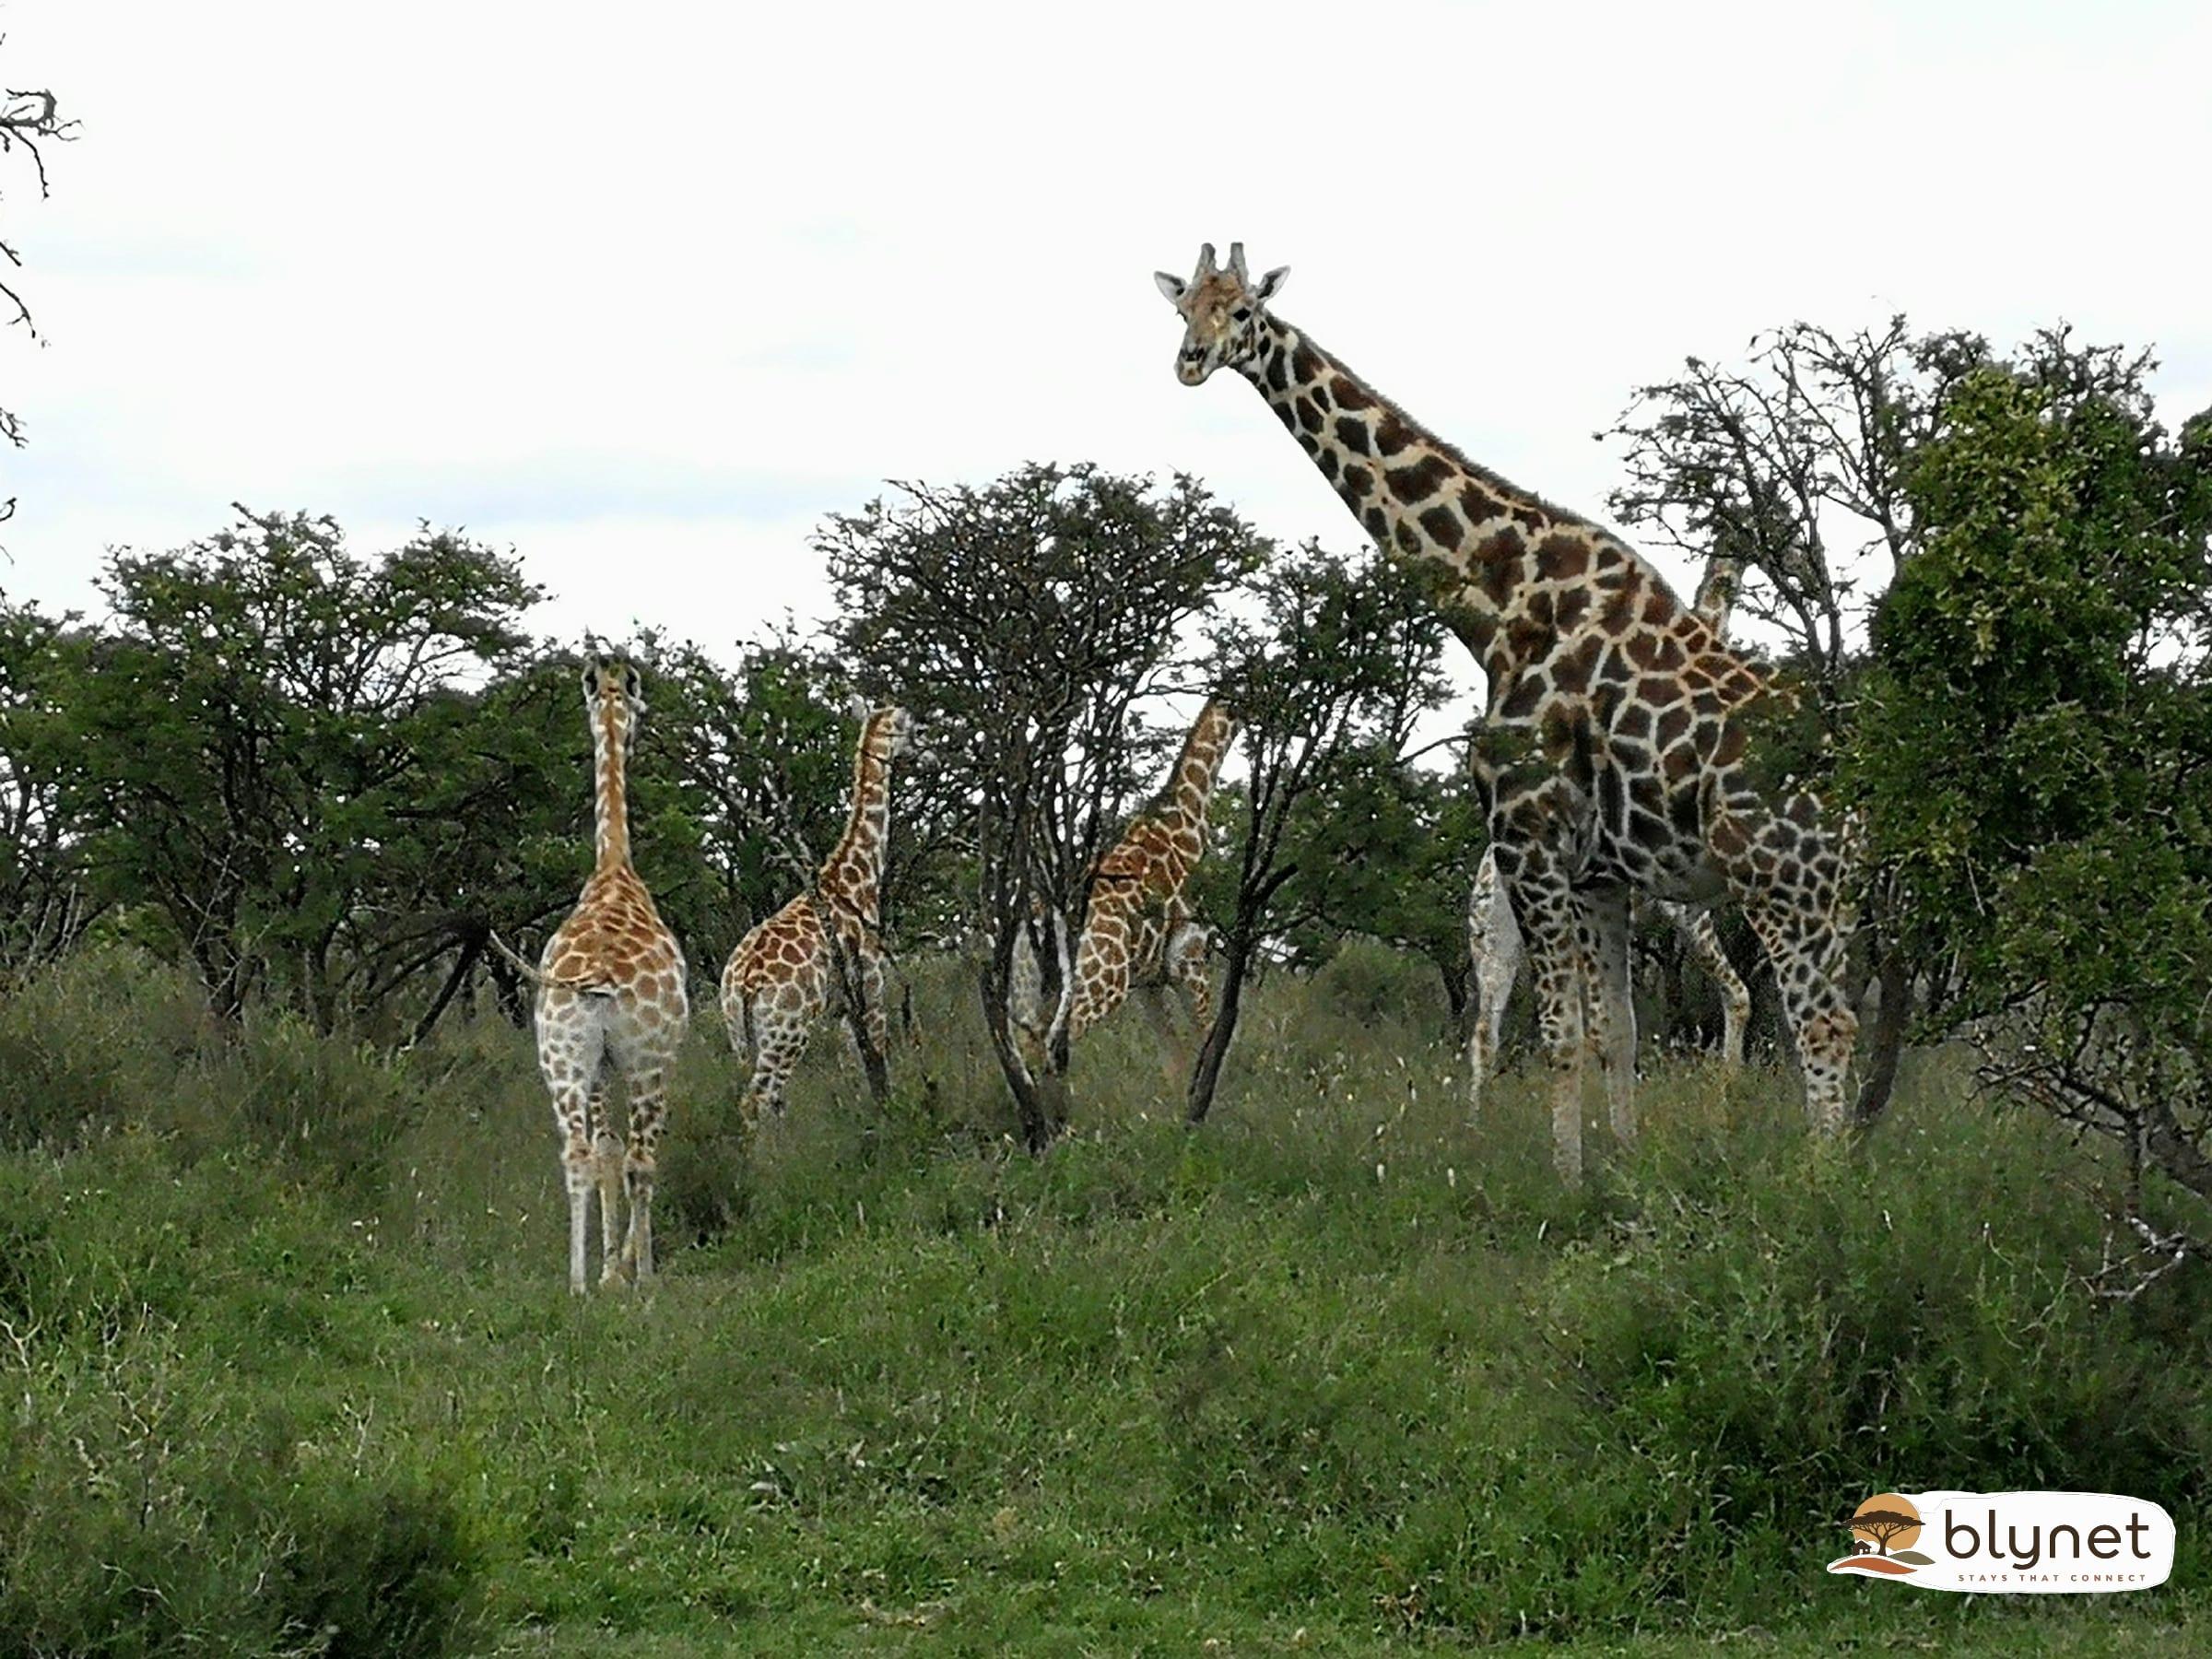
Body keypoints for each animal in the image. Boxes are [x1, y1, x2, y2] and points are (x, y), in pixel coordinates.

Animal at [516, 655, 690, 1293]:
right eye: (639, 707)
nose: (636, 735)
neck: (614, 867)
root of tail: (598, 979)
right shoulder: (645, 1059)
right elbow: (629, 1155)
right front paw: (627, 1269)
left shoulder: (596, 1069)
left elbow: (604, 1149)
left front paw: (608, 1269)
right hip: (647, 1060)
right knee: (642, 1158)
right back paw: (647, 1281)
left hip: (562, 1059)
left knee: (578, 1155)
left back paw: (576, 1284)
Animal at [720, 704, 913, 1122]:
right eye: (914, 727)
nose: (930, 754)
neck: (855, 879)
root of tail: (740, 982)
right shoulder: (871, 985)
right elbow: (879, 1059)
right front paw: (891, 1114)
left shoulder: (840, 1009)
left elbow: (854, 1067)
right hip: (787, 1029)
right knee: (758, 1098)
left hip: (741, 1037)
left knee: (761, 1098)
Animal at [1010, 698, 1239, 1066]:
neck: (1186, 831)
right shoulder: (1189, 962)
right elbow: (1209, 1050)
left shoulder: (1150, 984)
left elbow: (1176, 1062)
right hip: (1100, 984)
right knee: (1049, 1045)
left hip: (1028, 989)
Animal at [1465, 551, 1753, 1104]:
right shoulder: (1683, 910)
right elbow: (1738, 993)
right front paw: (1726, 1090)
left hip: (1495, 938)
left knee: (1485, 1029)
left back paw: (1474, 1116)